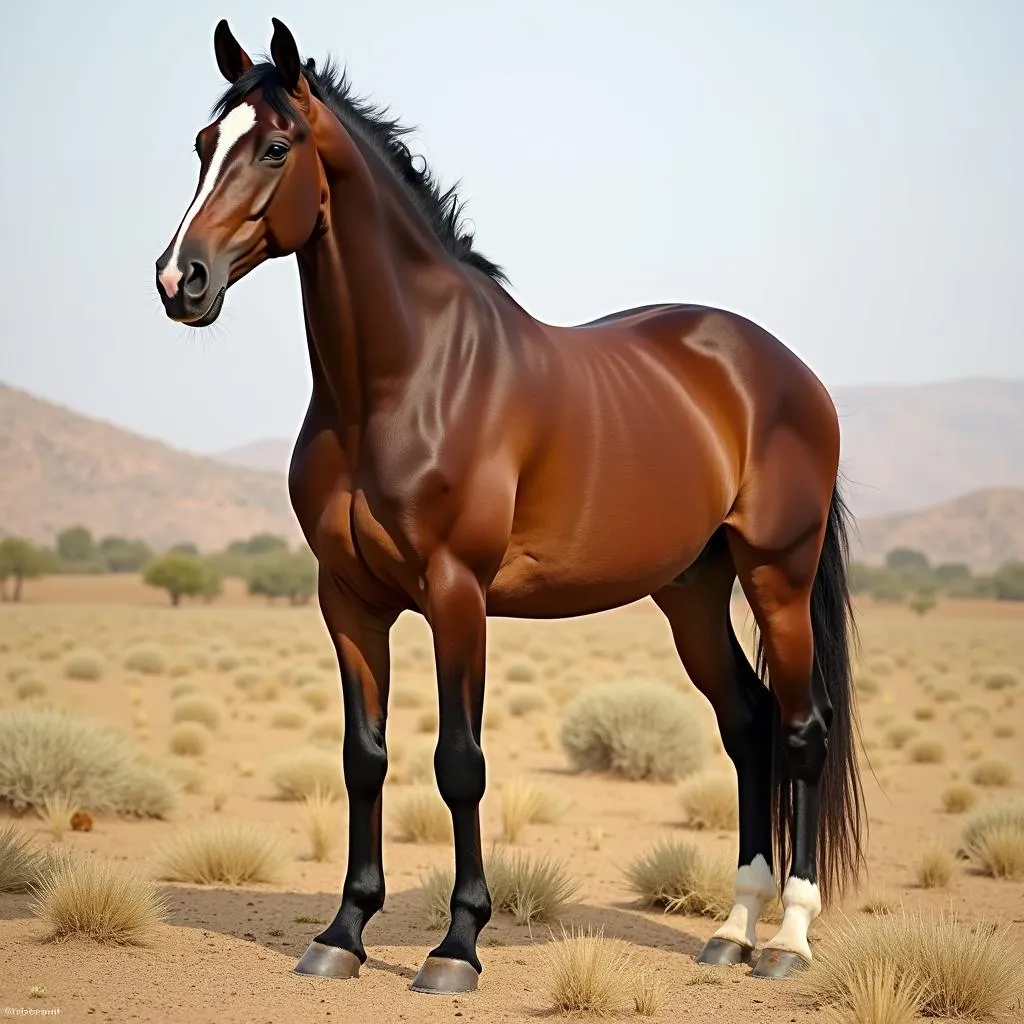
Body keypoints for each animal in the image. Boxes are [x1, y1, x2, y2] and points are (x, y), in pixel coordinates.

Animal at [153, 14, 864, 991]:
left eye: (274, 146)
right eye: (199, 143)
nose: (178, 279)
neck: (405, 380)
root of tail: (787, 371)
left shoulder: (458, 594)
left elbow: (460, 763)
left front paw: (457, 945)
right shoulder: (348, 599)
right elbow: (363, 759)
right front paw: (343, 933)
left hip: (778, 578)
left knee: (800, 730)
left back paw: (787, 939)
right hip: (690, 591)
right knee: (747, 723)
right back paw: (732, 929)